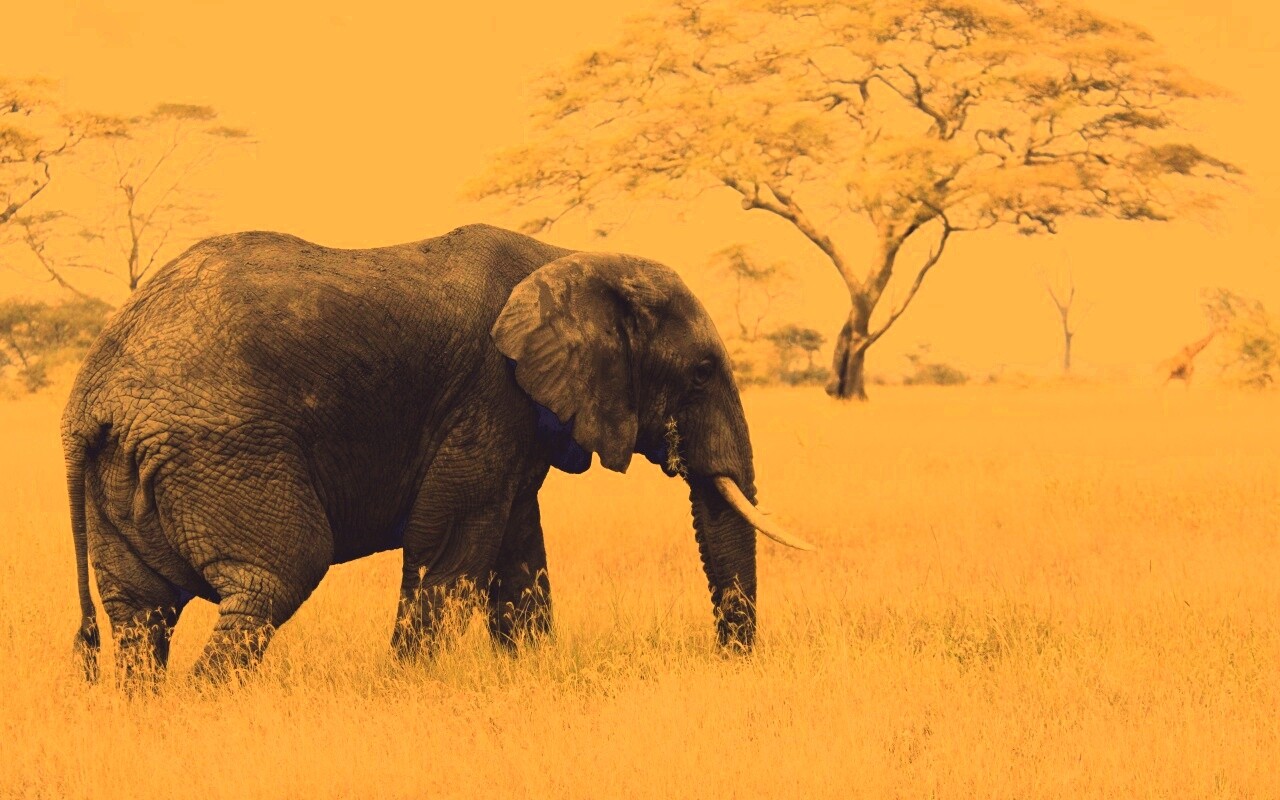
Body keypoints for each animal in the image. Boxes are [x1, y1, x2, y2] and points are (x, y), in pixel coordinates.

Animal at [62, 223, 813, 683]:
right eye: (702, 372)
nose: (728, 663)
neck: (568, 257)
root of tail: (89, 397)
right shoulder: (487, 393)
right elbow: (451, 540)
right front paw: (409, 684)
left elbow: (517, 549)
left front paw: (527, 674)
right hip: (222, 449)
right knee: (275, 576)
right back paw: (208, 706)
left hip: (129, 470)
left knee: (140, 614)